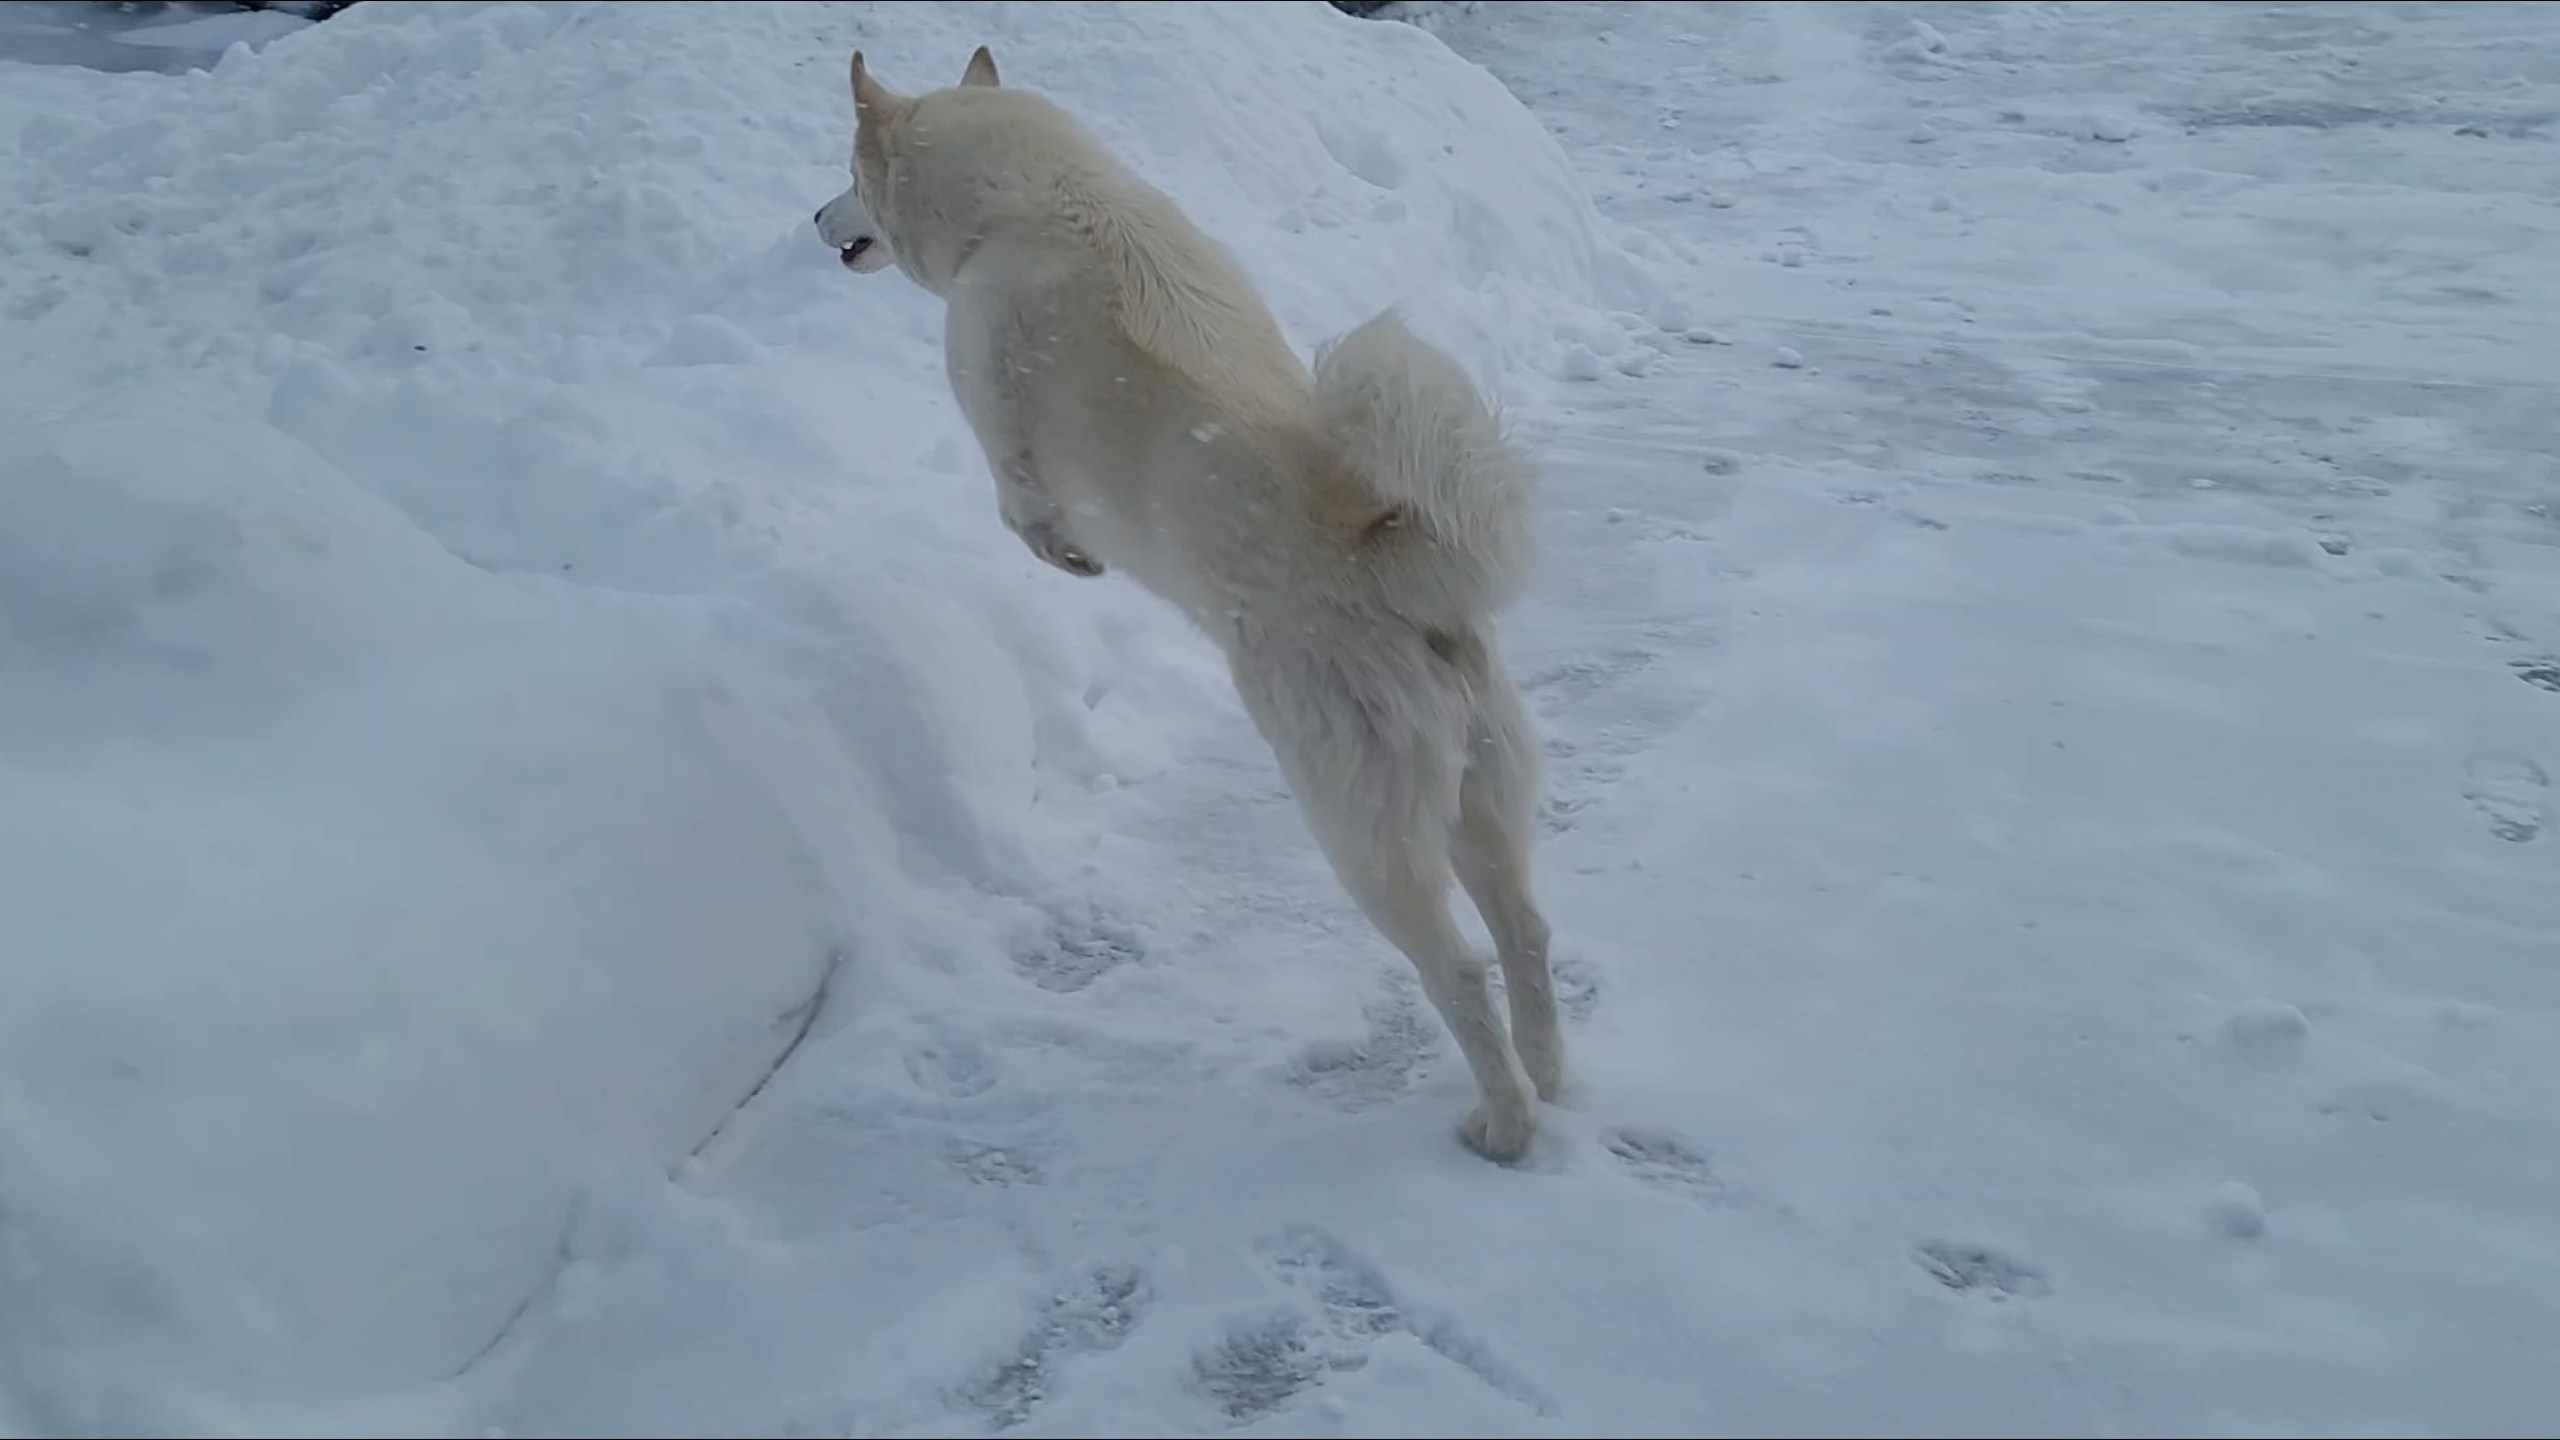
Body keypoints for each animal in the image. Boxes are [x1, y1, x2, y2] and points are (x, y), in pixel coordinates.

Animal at [814, 44, 1556, 1158]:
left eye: (848, 175)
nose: (814, 219)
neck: (1031, 200)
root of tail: (1395, 567)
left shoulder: (991, 398)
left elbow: (1015, 503)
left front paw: (1066, 556)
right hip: (1483, 792)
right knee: (1526, 932)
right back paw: (1552, 1082)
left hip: (1359, 825)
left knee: (1457, 967)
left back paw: (1504, 1125)